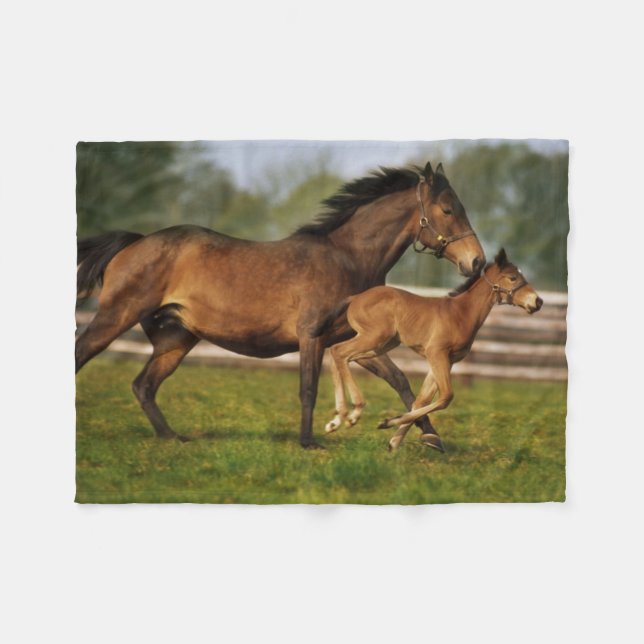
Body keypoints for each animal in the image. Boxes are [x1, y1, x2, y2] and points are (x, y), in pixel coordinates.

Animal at [76, 161, 485, 449]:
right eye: (448, 210)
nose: (477, 262)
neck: (348, 258)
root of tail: (136, 242)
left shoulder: (357, 340)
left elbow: (401, 382)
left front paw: (431, 437)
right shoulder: (312, 336)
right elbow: (309, 388)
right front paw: (311, 441)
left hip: (175, 340)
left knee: (143, 385)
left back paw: (172, 437)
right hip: (116, 316)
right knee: (86, 355)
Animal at [324, 249, 542, 450]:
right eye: (513, 277)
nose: (538, 301)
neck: (461, 314)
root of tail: (355, 298)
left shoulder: (447, 360)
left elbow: (421, 401)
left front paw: (394, 441)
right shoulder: (436, 353)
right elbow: (446, 397)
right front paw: (388, 423)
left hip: (381, 345)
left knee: (339, 354)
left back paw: (337, 419)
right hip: (374, 337)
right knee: (339, 351)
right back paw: (354, 412)